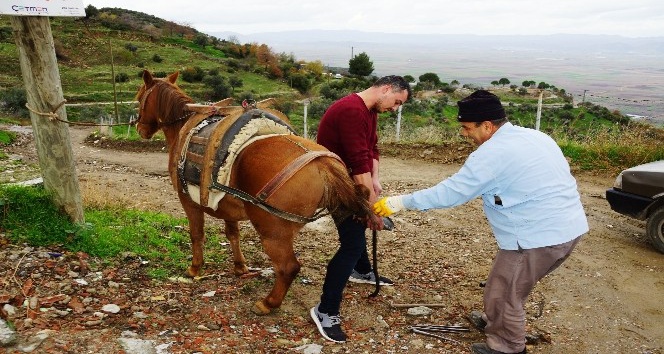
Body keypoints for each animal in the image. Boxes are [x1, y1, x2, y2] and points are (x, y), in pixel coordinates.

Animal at [135, 70, 370, 314]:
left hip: (272, 232)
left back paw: (269, 303)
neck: (185, 127)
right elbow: (232, 235)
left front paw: (194, 268)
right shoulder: (226, 205)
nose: (139, 128)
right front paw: (240, 267)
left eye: (139, 97)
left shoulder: (188, 201)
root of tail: (322, 163)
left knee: (288, 267)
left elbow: (196, 235)